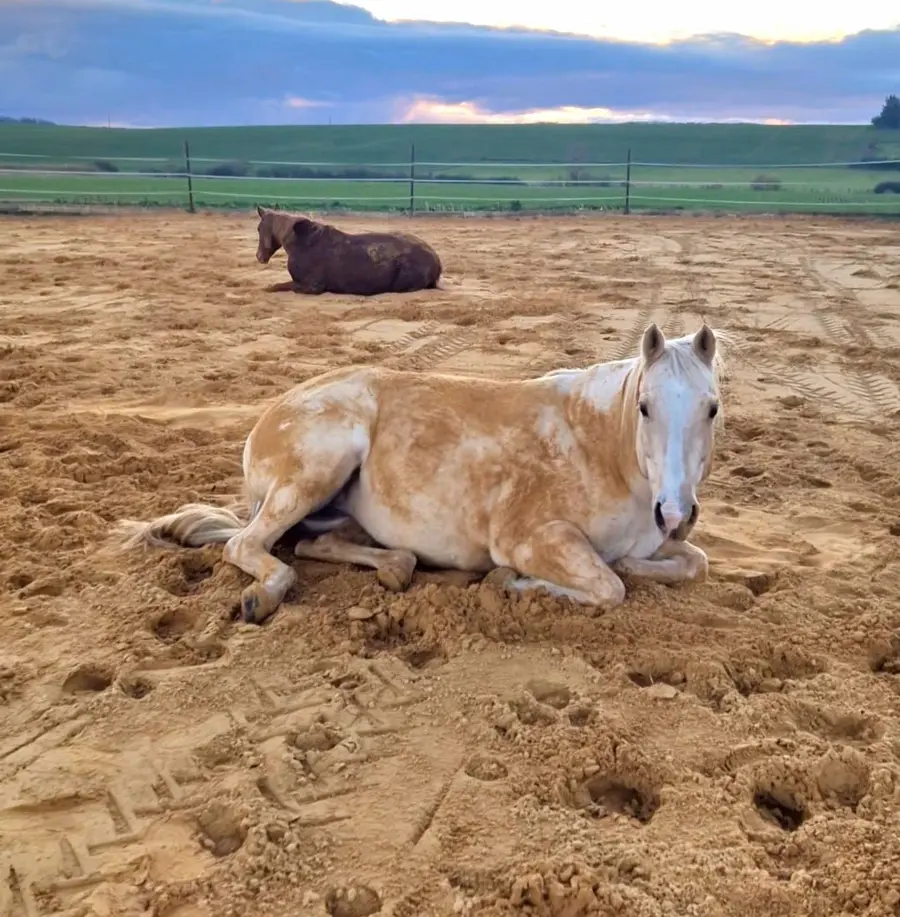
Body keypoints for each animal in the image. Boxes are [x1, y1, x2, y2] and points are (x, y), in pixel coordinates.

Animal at [111, 323, 727, 625]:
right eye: (644, 406)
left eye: (712, 408)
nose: (675, 512)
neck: (605, 454)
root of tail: (272, 414)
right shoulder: (530, 538)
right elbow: (608, 587)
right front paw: (510, 584)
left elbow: (688, 563)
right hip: (317, 469)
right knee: (246, 545)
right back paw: (262, 598)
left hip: (332, 510)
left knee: (316, 546)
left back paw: (393, 569)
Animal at [255, 206, 443, 295]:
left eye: (258, 228)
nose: (259, 256)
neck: (302, 243)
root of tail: (436, 260)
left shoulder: (311, 287)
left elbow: (276, 287)